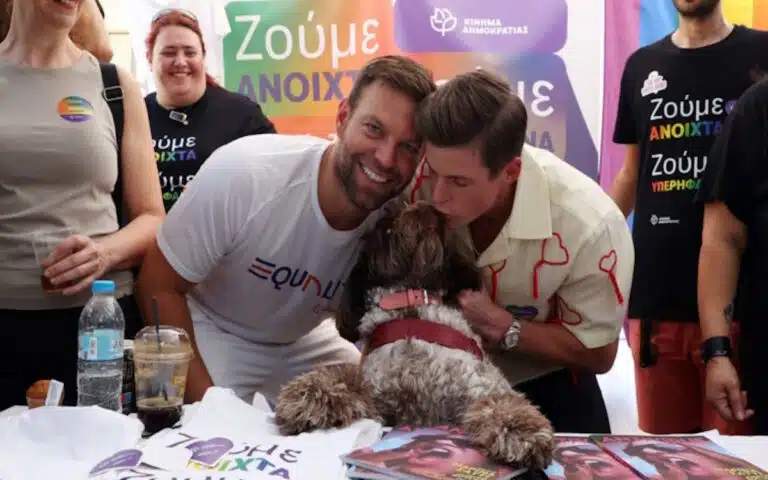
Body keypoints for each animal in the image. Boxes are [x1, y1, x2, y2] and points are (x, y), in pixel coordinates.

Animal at [274, 202, 555, 470]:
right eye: (387, 228)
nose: (428, 207)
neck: (412, 302)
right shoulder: (377, 396)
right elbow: (341, 378)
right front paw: (306, 397)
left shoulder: (481, 386)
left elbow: (504, 404)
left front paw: (520, 434)